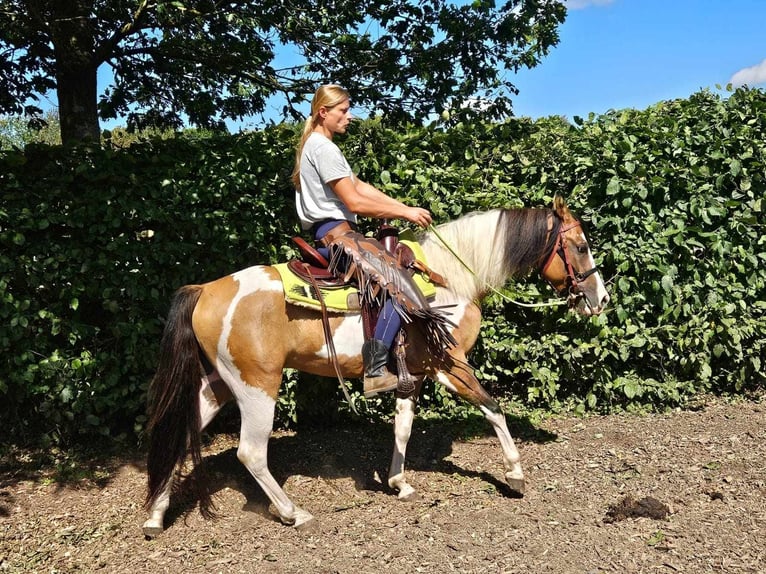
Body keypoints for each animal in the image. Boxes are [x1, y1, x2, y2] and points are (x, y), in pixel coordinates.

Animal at [142, 196, 612, 536]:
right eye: (581, 246)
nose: (601, 299)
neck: (449, 279)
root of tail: (205, 289)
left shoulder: (415, 374)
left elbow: (402, 427)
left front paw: (399, 482)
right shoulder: (451, 365)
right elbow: (492, 406)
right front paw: (515, 473)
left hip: (220, 384)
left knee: (181, 434)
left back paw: (156, 516)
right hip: (258, 387)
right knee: (251, 452)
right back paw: (295, 512)